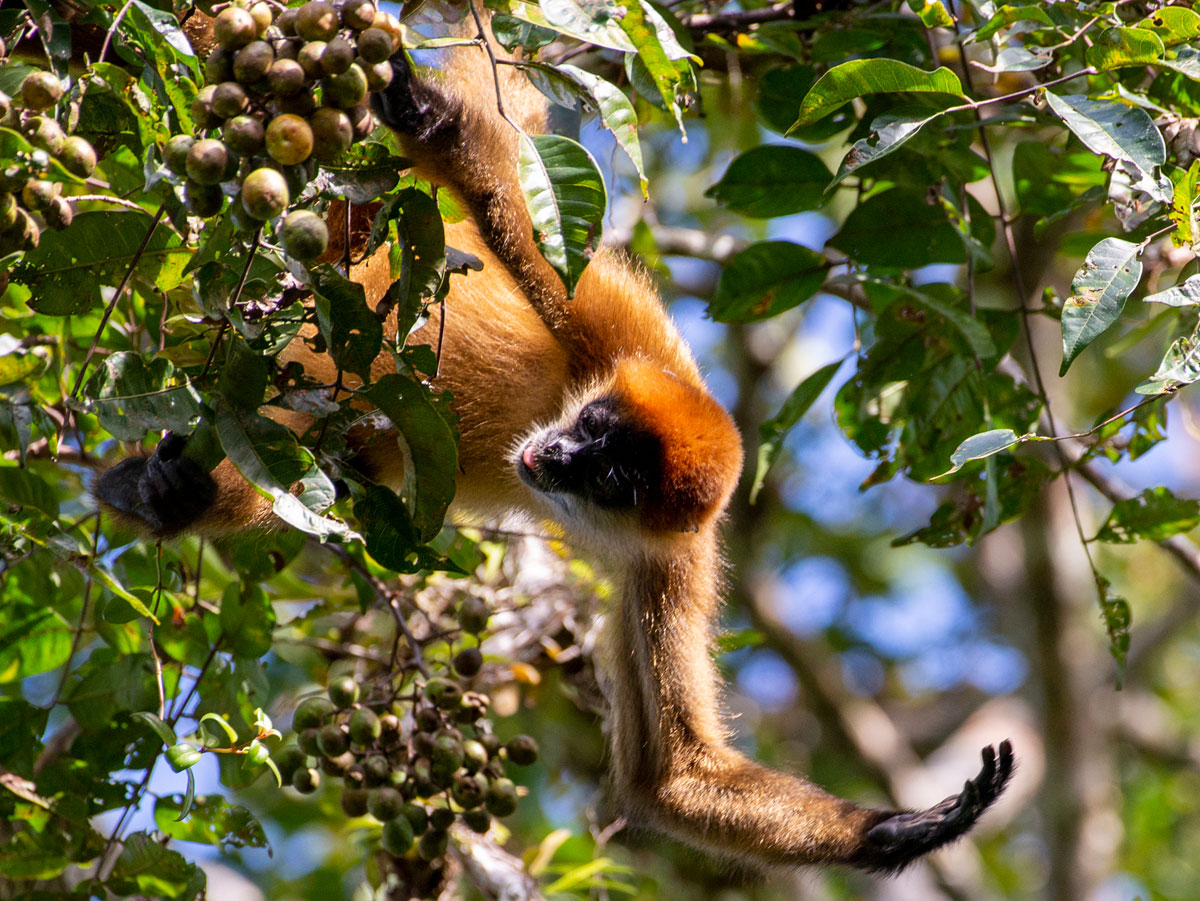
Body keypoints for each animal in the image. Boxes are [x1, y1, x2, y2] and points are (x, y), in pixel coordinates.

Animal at [98, 24, 1012, 878]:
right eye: (597, 433)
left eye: (609, 477)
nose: (559, 454)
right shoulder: (617, 337)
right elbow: (506, 192)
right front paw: (419, 107)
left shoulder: (673, 557)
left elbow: (671, 776)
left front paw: (902, 829)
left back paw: (154, 490)